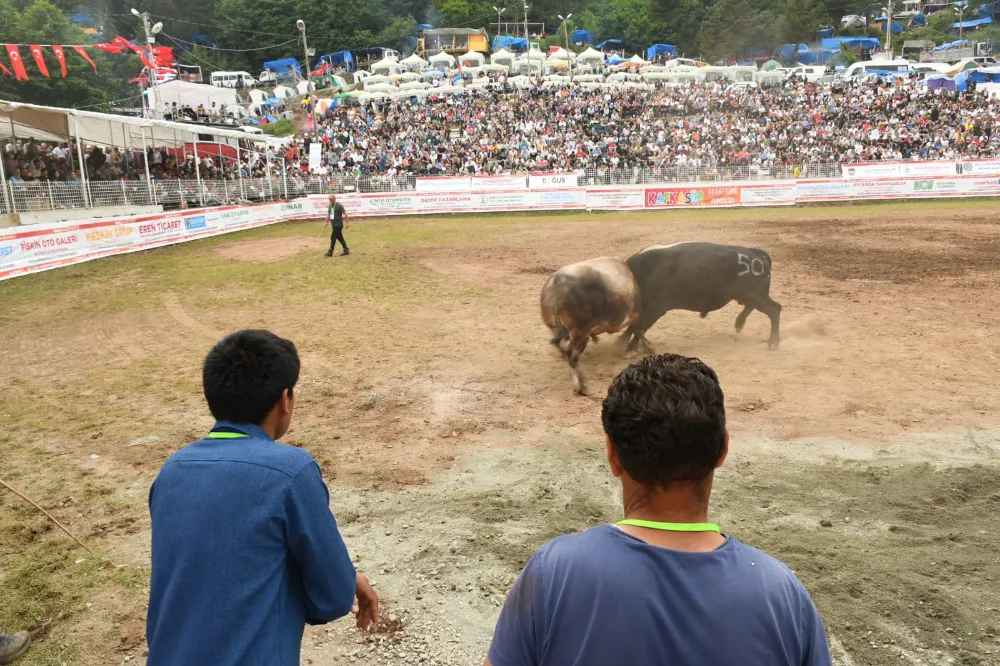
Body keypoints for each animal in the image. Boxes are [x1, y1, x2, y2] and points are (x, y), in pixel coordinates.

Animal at [540, 256, 640, 394]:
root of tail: (556, 282)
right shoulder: (631, 315)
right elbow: (637, 328)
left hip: (558, 329)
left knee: (564, 351)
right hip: (580, 333)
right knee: (571, 354)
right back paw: (580, 386)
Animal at [616, 241, 780, 350]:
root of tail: (754, 252)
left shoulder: (655, 309)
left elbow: (639, 328)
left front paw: (629, 348)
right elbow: (635, 326)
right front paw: (621, 342)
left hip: (755, 295)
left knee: (774, 310)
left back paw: (773, 342)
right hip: (750, 295)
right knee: (755, 306)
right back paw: (739, 324)